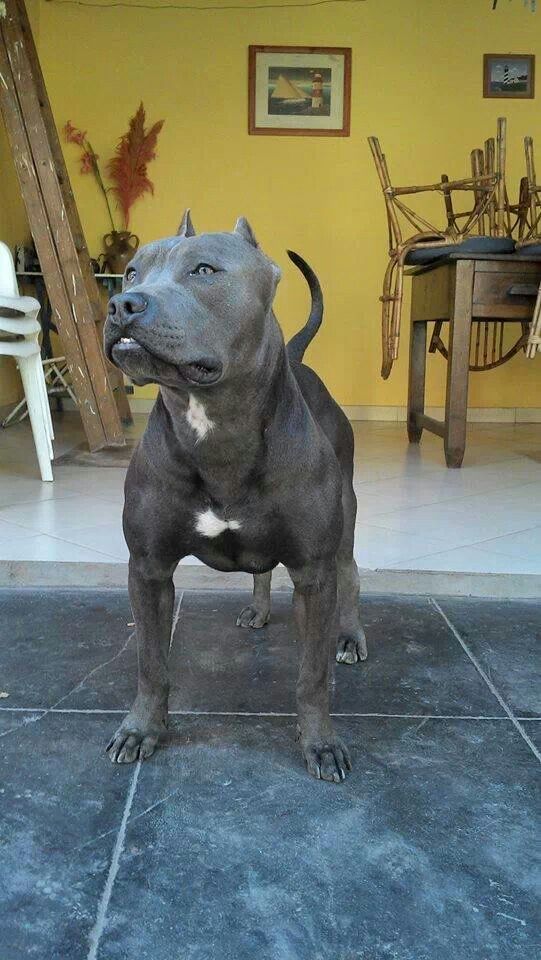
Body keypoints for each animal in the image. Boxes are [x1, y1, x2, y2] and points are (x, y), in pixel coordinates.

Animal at [103, 210, 368, 780]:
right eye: (132, 271)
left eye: (204, 270)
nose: (121, 304)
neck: (214, 422)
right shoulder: (148, 569)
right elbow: (151, 664)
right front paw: (141, 729)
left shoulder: (314, 574)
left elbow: (312, 676)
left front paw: (320, 741)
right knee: (262, 569)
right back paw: (259, 610)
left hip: (345, 519)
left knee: (351, 572)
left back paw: (350, 636)